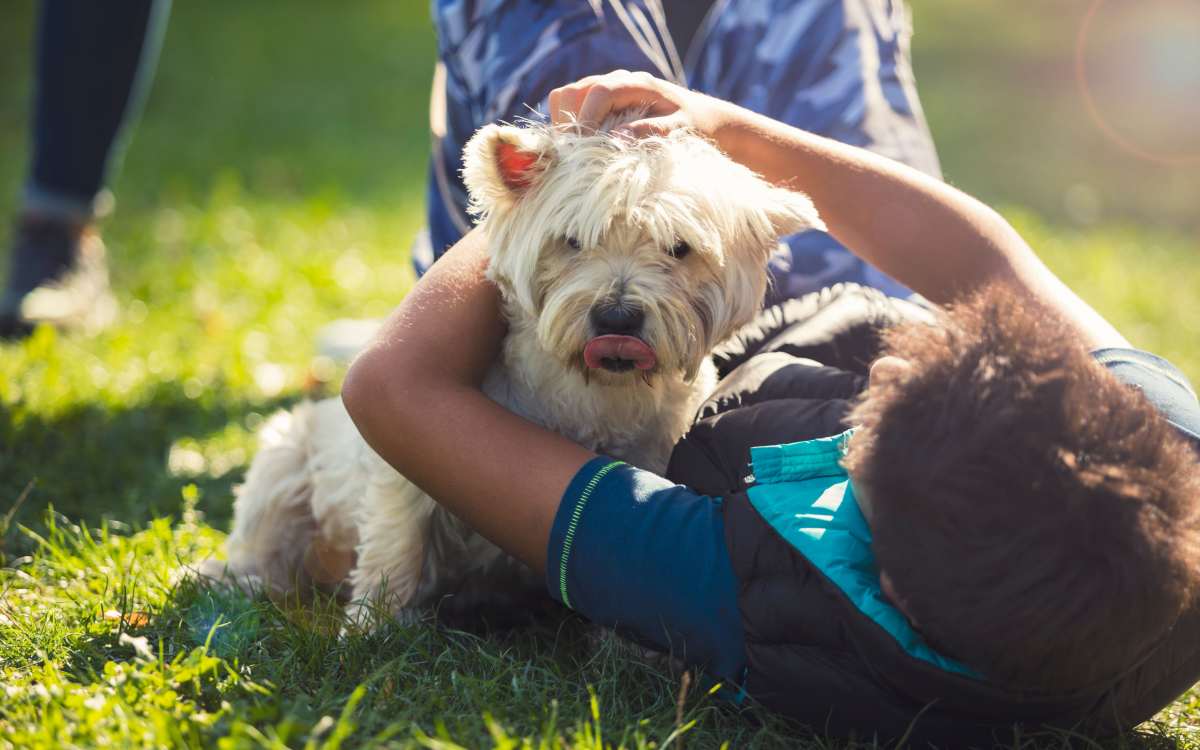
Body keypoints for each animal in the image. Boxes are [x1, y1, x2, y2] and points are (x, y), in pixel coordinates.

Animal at [211, 115, 820, 624]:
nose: (616, 316)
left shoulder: (653, 450)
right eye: (571, 241)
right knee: (264, 545)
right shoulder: (403, 456)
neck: (594, 389)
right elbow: (396, 542)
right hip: (285, 457)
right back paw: (240, 583)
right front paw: (368, 629)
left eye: (679, 249)